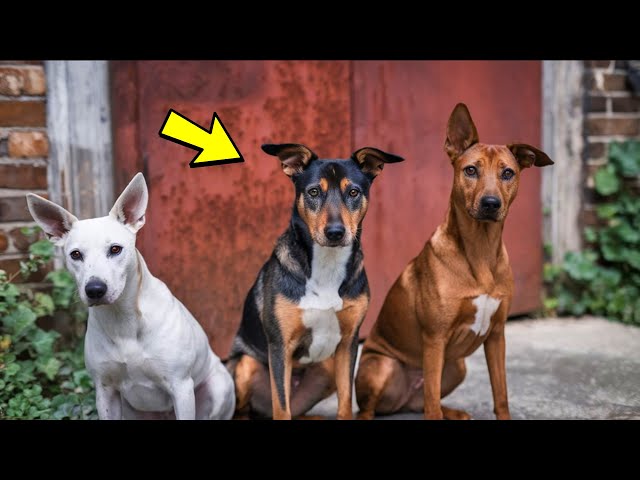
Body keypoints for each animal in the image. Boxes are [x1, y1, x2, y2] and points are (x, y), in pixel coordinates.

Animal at [26, 173, 235, 420]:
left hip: (218, 387)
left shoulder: (181, 387)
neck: (122, 318)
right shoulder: (105, 391)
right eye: (75, 254)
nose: (95, 289)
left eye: (115, 249)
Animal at [228, 143, 402, 420]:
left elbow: (345, 402)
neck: (326, 264)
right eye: (313, 192)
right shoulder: (280, 347)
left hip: (327, 369)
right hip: (246, 366)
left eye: (353, 192)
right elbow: (282, 407)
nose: (335, 232)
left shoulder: (349, 343)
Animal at [356, 103, 556, 418]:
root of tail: (401, 399)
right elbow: (431, 405)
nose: (490, 204)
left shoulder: (497, 335)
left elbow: (501, 394)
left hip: (457, 366)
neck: (481, 249)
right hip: (382, 366)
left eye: (508, 173)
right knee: (376, 408)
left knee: (423, 401)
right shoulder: (435, 339)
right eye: (470, 170)